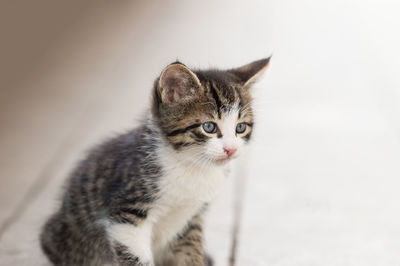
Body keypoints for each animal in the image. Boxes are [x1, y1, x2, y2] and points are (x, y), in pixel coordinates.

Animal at [40, 57, 270, 266]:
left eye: (241, 128)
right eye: (209, 127)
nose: (231, 149)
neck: (191, 167)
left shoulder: (191, 218)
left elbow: (190, 250)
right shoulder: (126, 213)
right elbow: (135, 256)